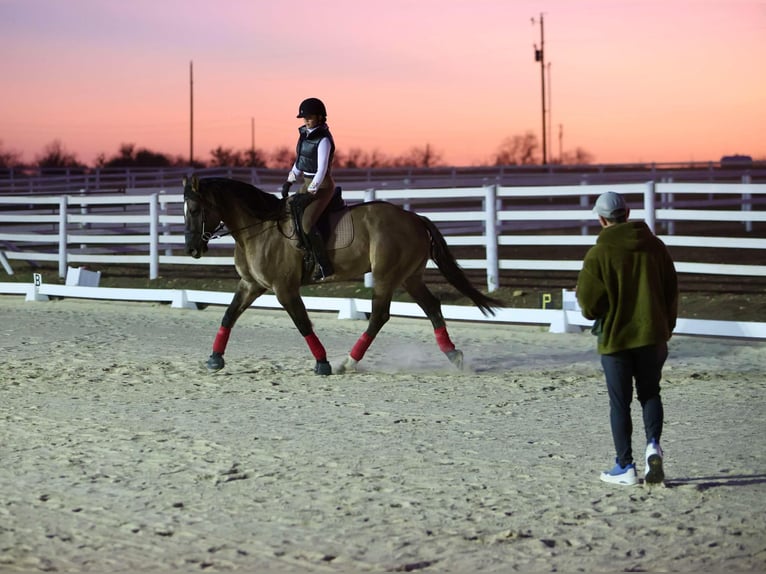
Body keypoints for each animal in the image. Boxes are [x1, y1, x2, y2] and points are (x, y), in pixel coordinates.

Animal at [182, 177, 504, 378]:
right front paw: (215, 359)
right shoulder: (250, 285)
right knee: (432, 308)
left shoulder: (284, 289)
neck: (260, 228)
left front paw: (323, 363)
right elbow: (228, 315)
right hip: (409, 278)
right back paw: (454, 357)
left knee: (379, 316)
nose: (192, 248)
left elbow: (302, 323)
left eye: (195, 209)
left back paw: (347, 363)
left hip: (386, 277)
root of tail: (414, 218)